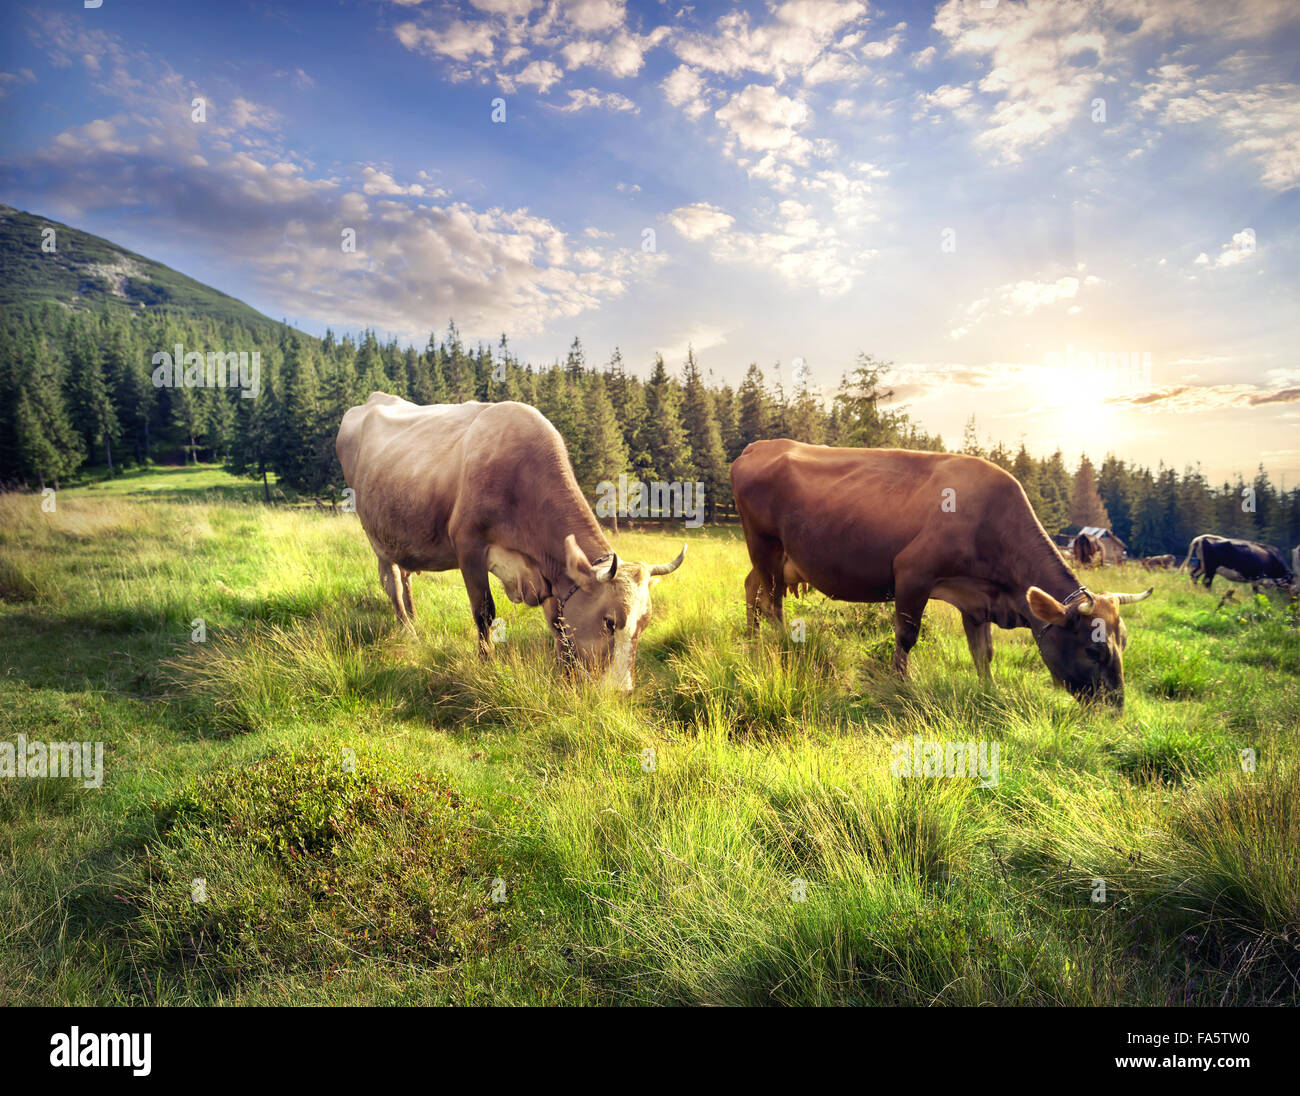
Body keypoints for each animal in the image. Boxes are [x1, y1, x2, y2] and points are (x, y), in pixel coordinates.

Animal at [336, 394, 687, 691]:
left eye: (645, 622)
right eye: (610, 621)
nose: (622, 691)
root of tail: (371, 401)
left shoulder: (550, 572)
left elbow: (559, 624)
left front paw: (564, 675)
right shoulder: (468, 546)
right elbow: (484, 612)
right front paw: (486, 663)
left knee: (405, 577)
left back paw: (414, 619)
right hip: (375, 535)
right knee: (392, 582)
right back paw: (408, 630)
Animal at [731, 440, 1153, 709]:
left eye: (1124, 642)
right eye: (1094, 650)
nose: (1116, 709)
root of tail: (758, 446)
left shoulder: (977, 600)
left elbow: (983, 652)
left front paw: (989, 691)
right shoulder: (912, 572)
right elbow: (906, 636)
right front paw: (902, 685)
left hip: (775, 559)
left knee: (752, 588)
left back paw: (751, 640)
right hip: (765, 545)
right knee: (771, 603)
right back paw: (781, 646)